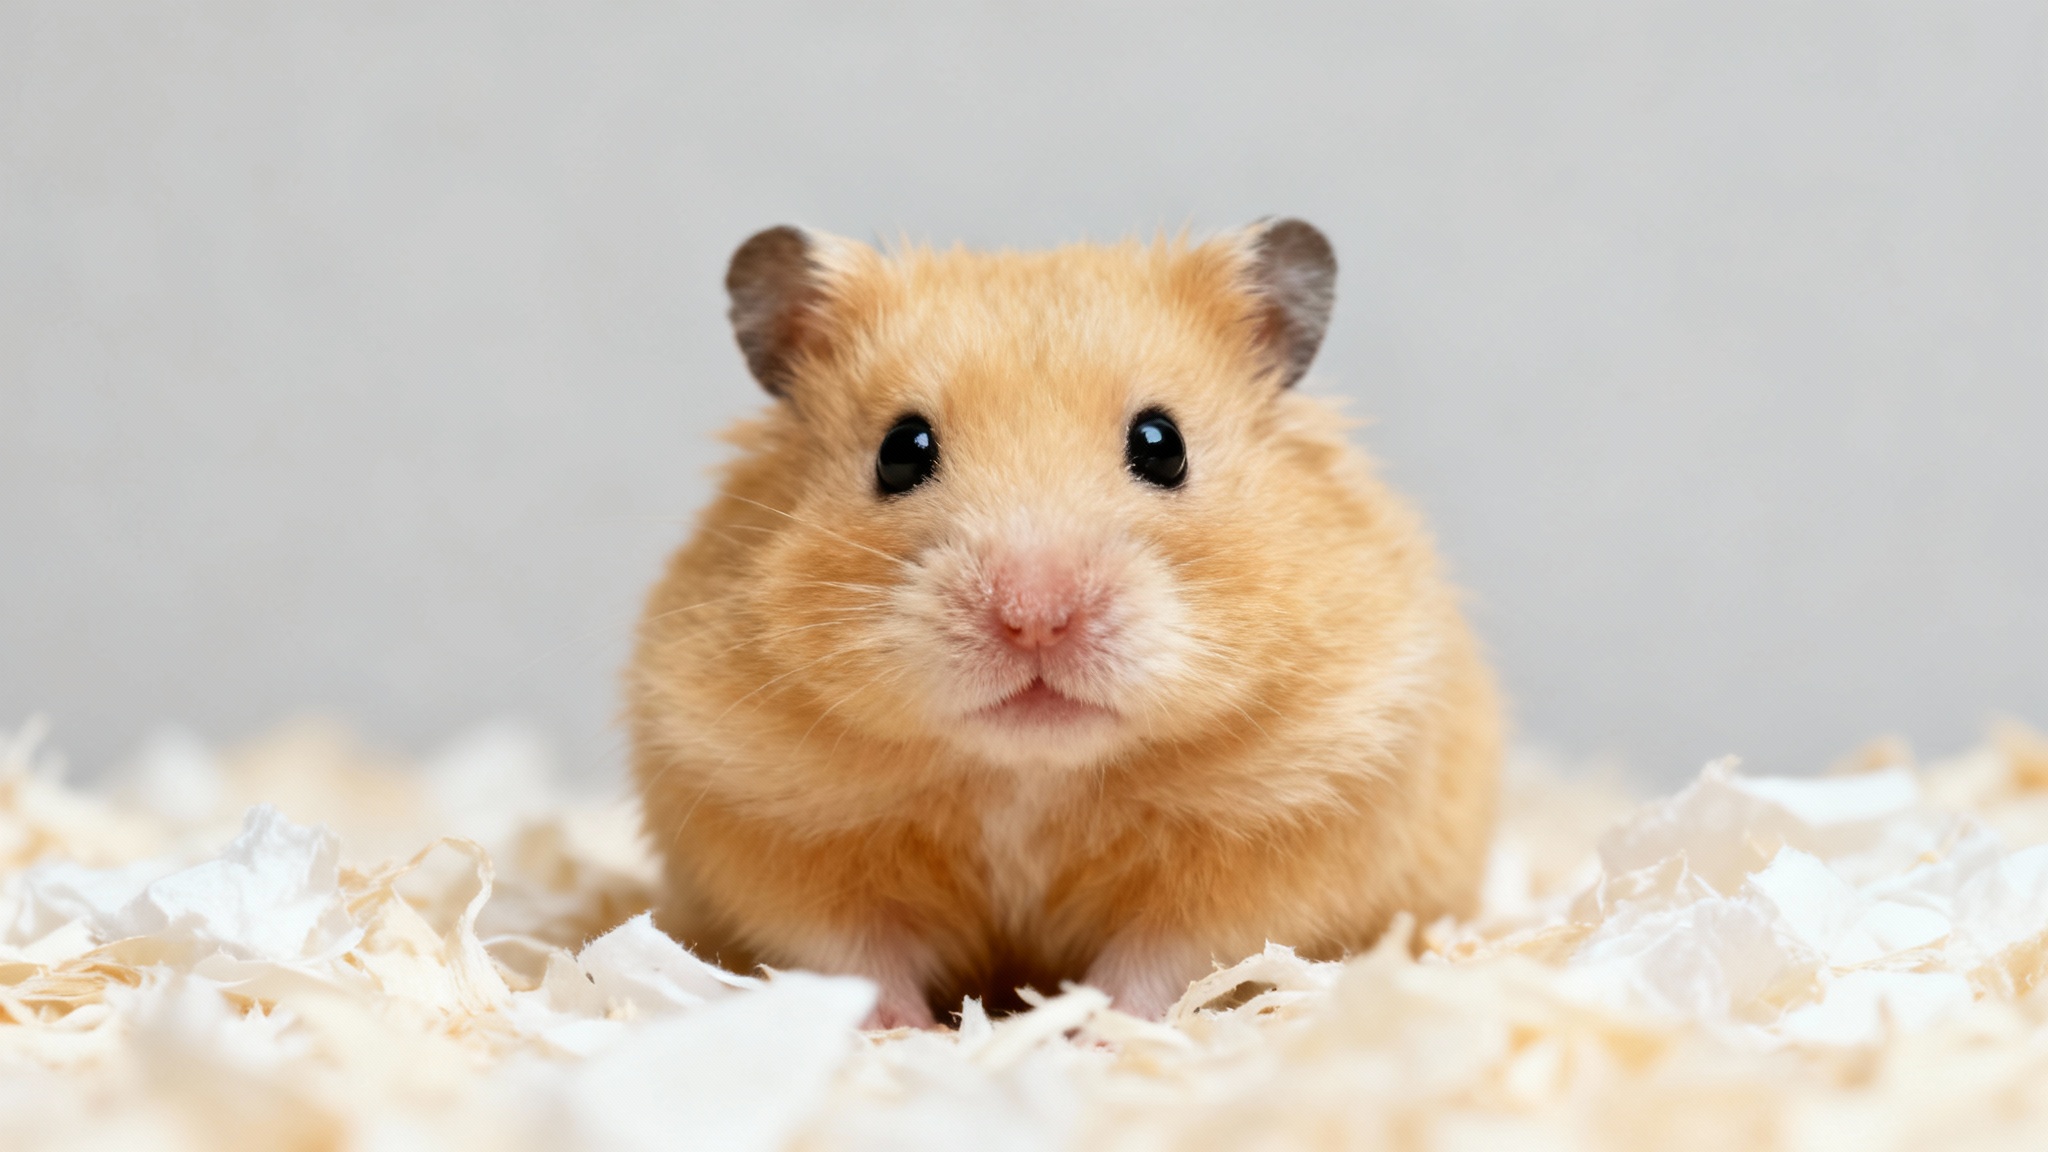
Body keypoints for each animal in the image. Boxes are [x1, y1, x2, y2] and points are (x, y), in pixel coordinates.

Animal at [627, 219, 1500, 1028]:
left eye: (1163, 444)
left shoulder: (1294, 819)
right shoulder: (759, 813)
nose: (1035, 619)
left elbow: (1169, 957)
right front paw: (898, 1034)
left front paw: (1095, 1034)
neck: (1029, 777)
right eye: (901, 450)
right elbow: (854, 954)